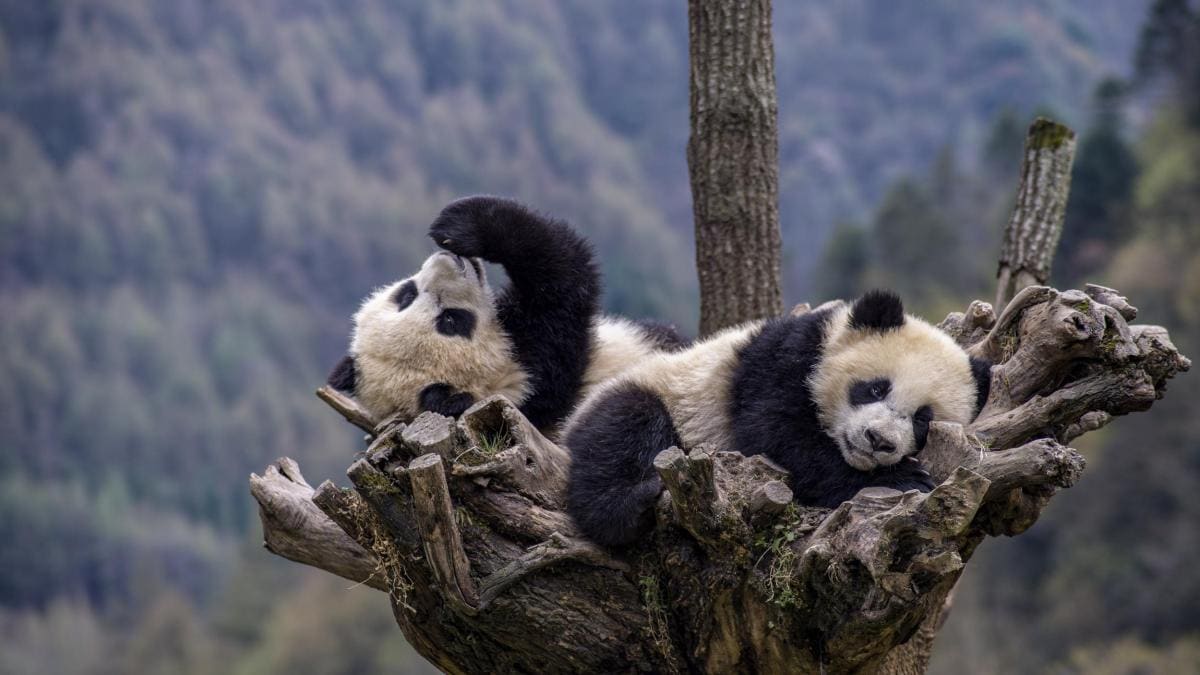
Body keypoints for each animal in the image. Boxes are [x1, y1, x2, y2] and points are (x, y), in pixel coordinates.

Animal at [326, 196, 685, 434]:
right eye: (451, 321)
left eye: (405, 297)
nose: (446, 263)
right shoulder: (544, 366)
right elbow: (560, 275)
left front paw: (455, 228)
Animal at [563, 290, 992, 547]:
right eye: (875, 388)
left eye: (922, 420)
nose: (878, 441)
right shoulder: (781, 360)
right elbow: (775, 435)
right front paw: (904, 478)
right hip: (660, 393)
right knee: (623, 430)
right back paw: (628, 505)